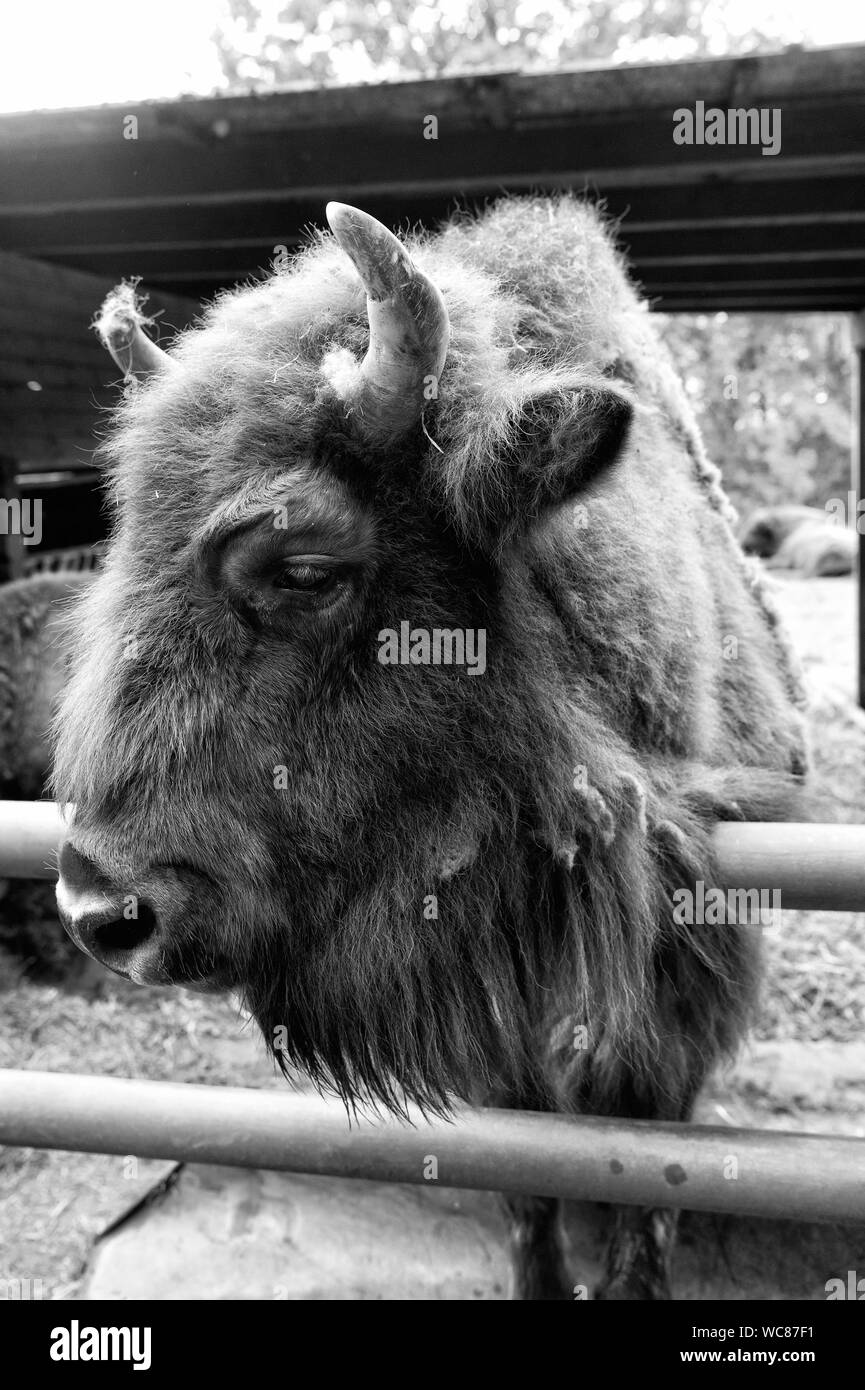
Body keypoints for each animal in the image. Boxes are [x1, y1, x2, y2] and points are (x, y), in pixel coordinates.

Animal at [55, 198, 812, 1301]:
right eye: (119, 558)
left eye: (306, 568)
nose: (101, 913)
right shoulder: (497, 1039)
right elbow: (525, 1188)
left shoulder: (668, 1014)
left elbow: (642, 1193)